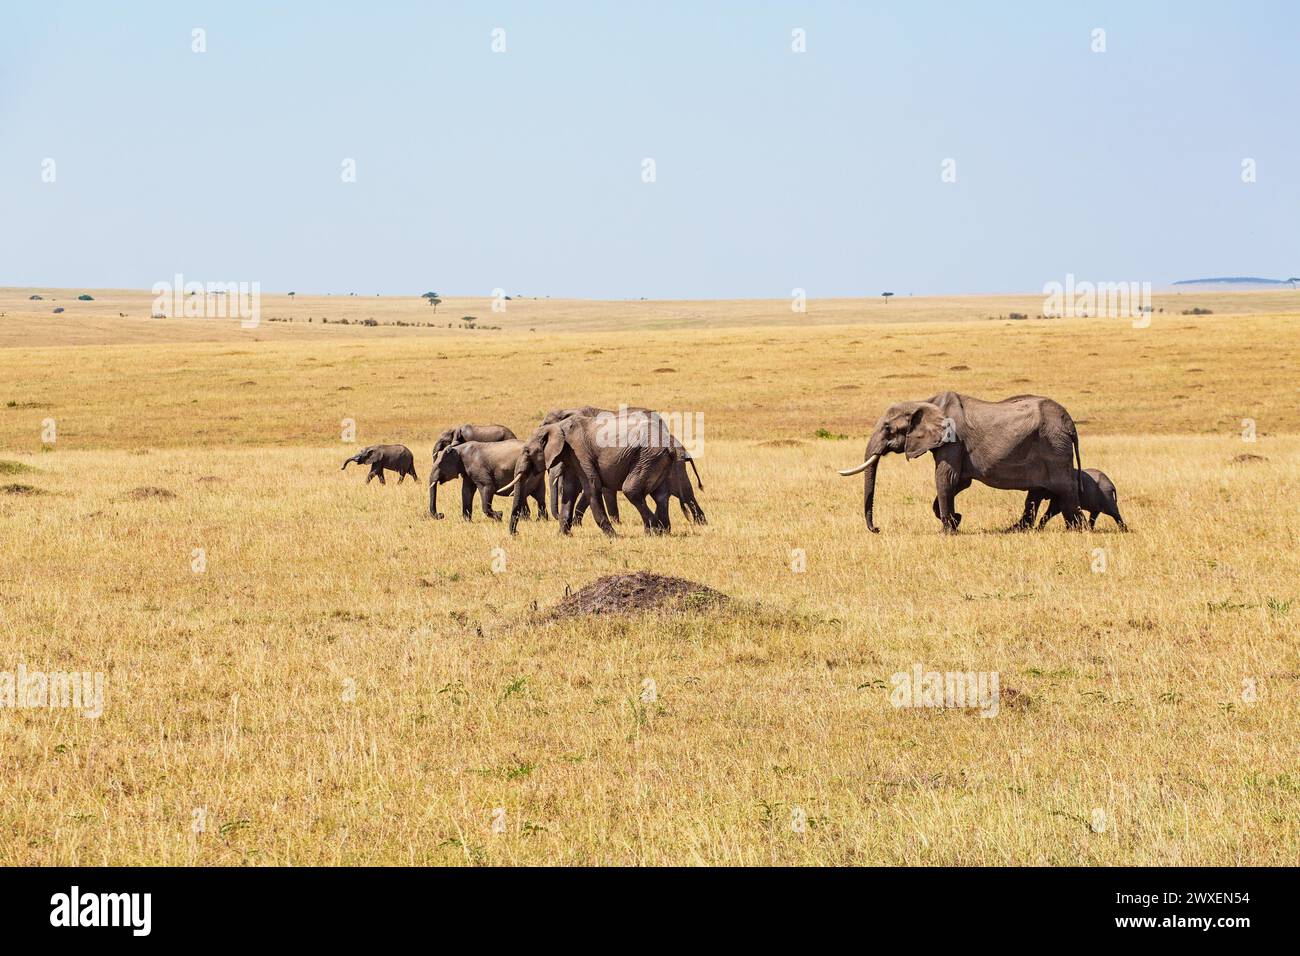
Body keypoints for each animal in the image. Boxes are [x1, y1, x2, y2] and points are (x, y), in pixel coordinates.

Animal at [837, 392, 1081, 535]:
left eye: (888, 428)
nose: (877, 529)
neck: (924, 402)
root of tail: (1070, 423)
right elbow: (959, 481)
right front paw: (956, 521)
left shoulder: (953, 438)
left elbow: (946, 477)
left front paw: (947, 531)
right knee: (1036, 493)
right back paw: (1016, 529)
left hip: (1055, 447)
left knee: (1065, 488)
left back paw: (1077, 529)